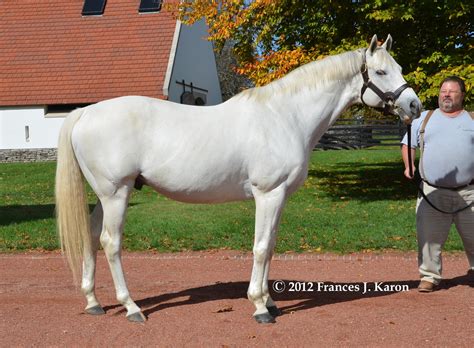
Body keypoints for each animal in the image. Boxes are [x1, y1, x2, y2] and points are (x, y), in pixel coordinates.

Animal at [55, 34, 422, 324]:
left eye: (400, 68)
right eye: (380, 72)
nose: (414, 106)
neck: (285, 117)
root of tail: (85, 112)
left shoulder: (280, 197)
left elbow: (270, 246)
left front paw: (270, 302)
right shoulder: (268, 194)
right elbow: (259, 248)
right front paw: (259, 306)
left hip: (107, 195)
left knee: (91, 236)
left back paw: (93, 301)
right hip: (116, 193)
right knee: (110, 242)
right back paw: (131, 307)